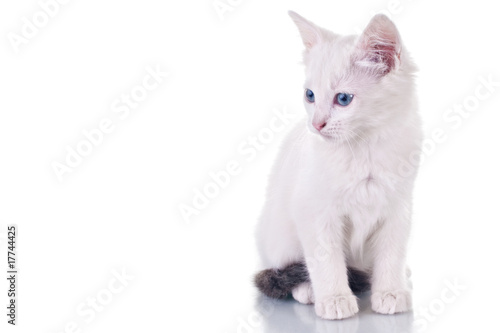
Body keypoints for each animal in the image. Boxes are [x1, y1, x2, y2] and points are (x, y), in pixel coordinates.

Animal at [254, 11, 422, 320]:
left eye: (343, 99)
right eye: (310, 95)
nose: (316, 124)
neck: (364, 147)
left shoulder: (398, 208)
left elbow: (391, 253)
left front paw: (390, 292)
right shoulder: (316, 212)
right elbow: (326, 260)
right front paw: (335, 299)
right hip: (279, 235)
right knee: (286, 268)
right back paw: (307, 290)